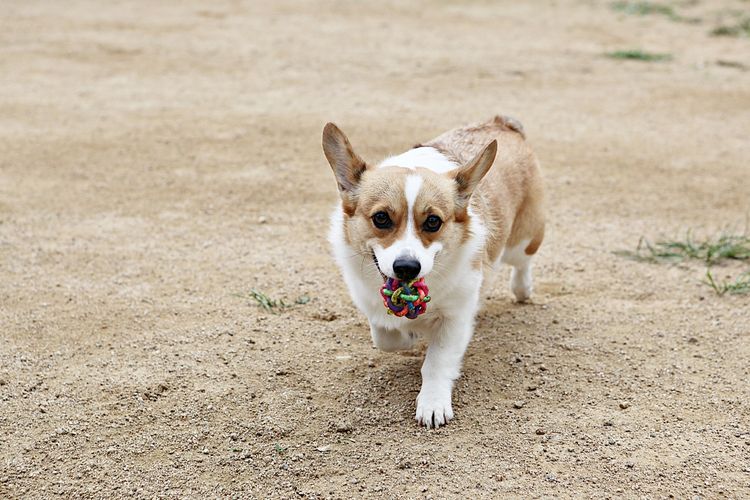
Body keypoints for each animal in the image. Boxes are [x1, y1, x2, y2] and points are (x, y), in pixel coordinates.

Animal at [324, 115, 548, 428]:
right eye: (381, 218)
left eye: (433, 222)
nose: (406, 268)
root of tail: (502, 123)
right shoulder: (372, 305)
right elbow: (384, 337)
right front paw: (408, 335)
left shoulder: (456, 317)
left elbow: (437, 363)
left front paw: (433, 403)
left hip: (522, 240)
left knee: (524, 261)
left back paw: (523, 289)